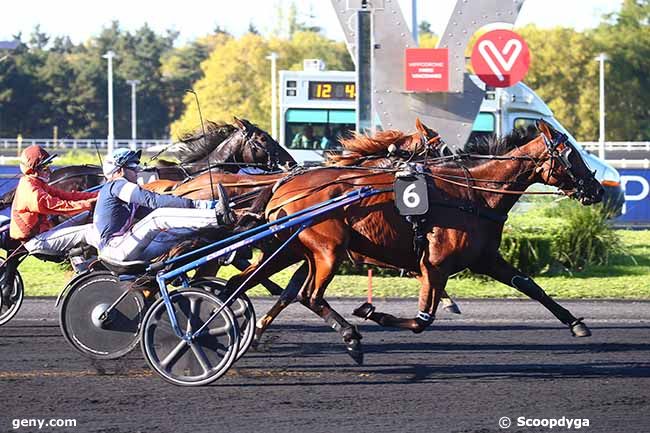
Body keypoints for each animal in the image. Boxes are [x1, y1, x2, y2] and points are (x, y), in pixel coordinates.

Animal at [227, 117, 604, 362]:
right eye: (572, 156)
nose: (597, 190)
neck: (473, 195)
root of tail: (283, 187)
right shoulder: (434, 264)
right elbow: (423, 320)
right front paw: (374, 313)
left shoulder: (485, 259)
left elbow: (529, 285)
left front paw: (576, 323)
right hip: (327, 250)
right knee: (310, 295)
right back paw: (350, 338)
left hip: (290, 249)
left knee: (248, 282)